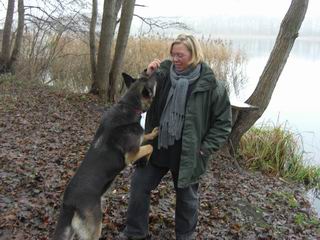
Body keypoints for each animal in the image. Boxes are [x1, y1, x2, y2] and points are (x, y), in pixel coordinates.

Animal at [54, 71, 159, 240]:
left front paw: (154, 132)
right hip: (94, 227)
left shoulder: (138, 142)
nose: (156, 71)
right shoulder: (131, 154)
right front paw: (146, 159)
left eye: (145, 73)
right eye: (150, 79)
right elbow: (150, 147)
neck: (129, 106)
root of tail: (68, 203)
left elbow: (146, 136)